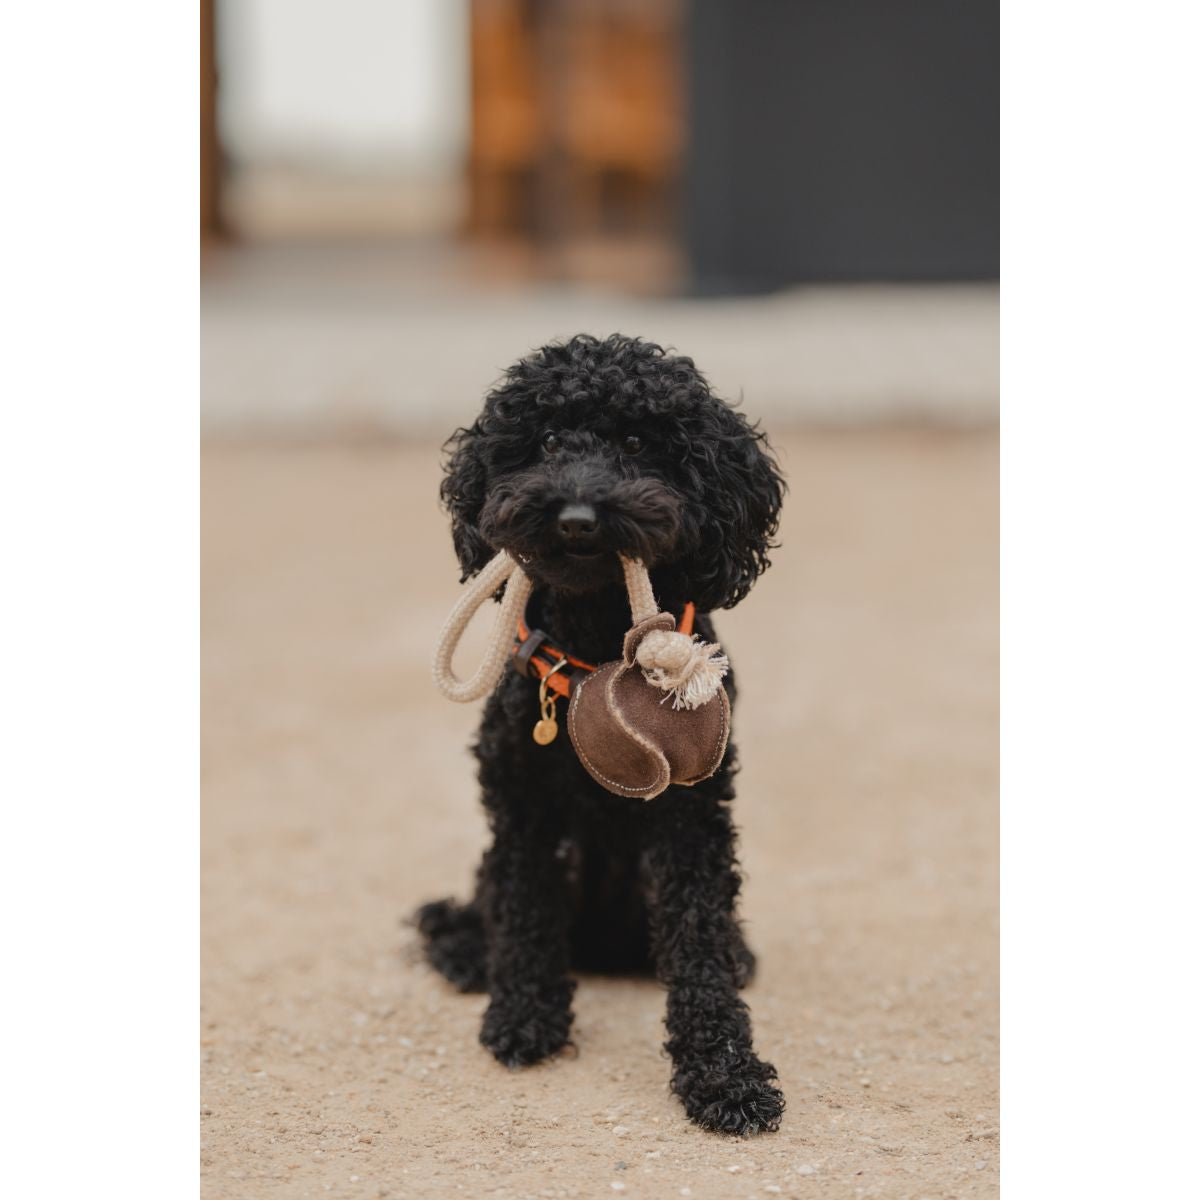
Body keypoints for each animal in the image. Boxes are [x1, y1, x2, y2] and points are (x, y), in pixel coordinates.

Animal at [415, 336, 787, 1132]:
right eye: (550, 440)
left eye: (641, 444)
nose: (579, 517)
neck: (594, 638)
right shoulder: (523, 810)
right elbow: (524, 911)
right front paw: (524, 1018)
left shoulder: (692, 822)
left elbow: (701, 949)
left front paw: (726, 1076)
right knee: (487, 901)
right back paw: (465, 950)